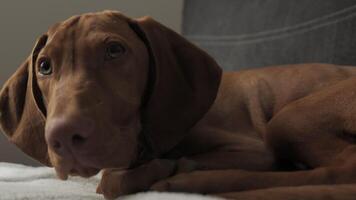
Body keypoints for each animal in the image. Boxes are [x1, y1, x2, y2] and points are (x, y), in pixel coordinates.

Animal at [2, 10, 356, 199]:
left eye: (115, 50)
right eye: (44, 66)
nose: (62, 137)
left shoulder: (255, 150)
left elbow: (115, 179)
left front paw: (156, 171)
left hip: (289, 117)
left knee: (338, 170)